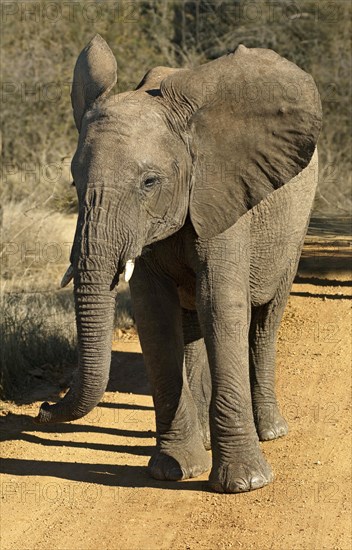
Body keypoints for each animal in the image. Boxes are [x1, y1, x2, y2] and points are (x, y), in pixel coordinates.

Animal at [36, 36, 322, 498]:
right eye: (75, 183)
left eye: (149, 183)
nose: (45, 406)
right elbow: (155, 316)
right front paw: (173, 471)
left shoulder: (220, 193)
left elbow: (221, 305)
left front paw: (244, 484)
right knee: (191, 327)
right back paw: (204, 441)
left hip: (295, 223)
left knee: (265, 318)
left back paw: (272, 432)